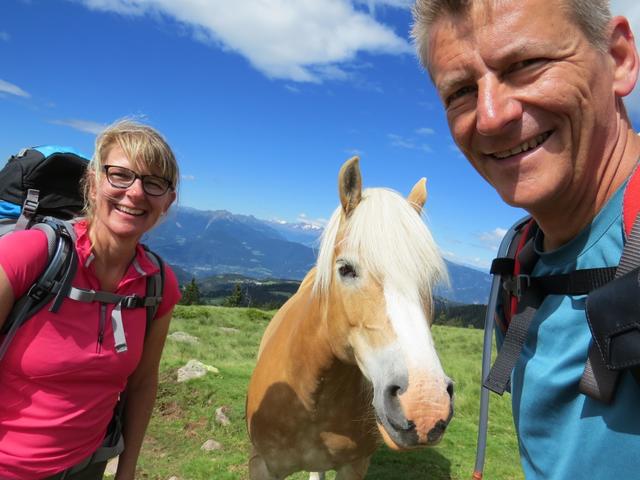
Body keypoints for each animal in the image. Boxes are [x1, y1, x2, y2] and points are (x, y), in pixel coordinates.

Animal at [248, 158, 452, 480]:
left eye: (430, 279)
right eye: (345, 269)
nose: (425, 406)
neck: (312, 397)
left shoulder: (355, 466)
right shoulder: (262, 465)